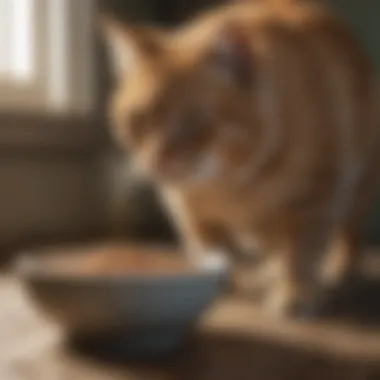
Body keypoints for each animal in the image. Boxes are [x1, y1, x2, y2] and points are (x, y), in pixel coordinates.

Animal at [101, 0, 380, 318]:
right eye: (138, 119)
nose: (155, 160)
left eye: (193, 123)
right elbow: (207, 240)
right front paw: (227, 274)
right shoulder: (183, 204)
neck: (228, 181)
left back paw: (337, 269)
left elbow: (302, 252)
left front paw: (295, 292)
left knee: (348, 237)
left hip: (360, 187)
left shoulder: (319, 194)